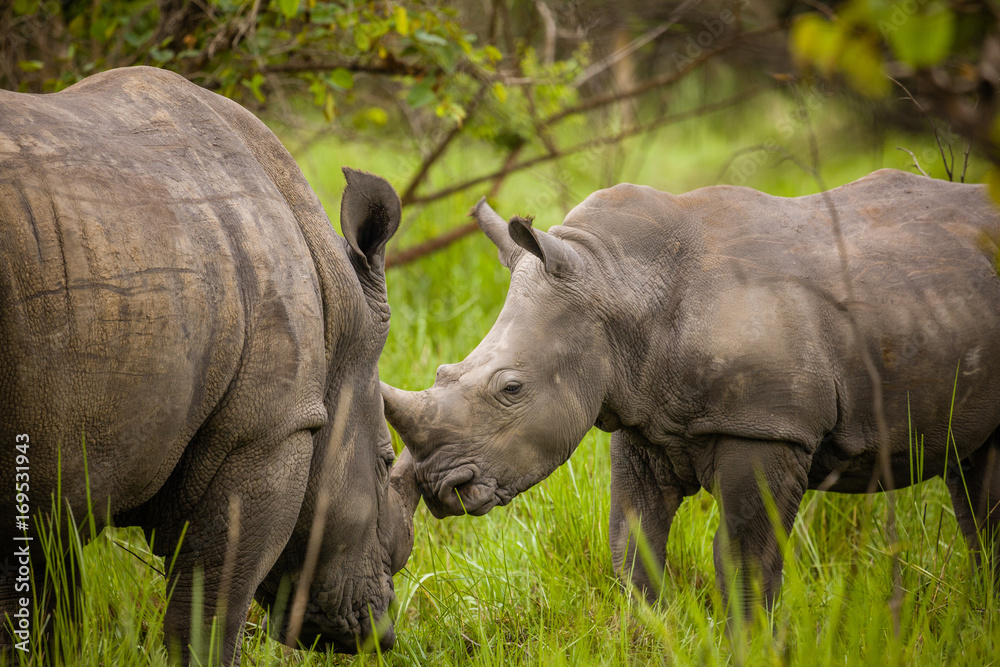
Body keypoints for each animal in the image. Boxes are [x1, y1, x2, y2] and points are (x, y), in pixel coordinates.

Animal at [0, 66, 419, 664]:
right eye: (384, 464)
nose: (377, 638)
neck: (339, 315)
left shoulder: (59, 471)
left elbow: (46, 606)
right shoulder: (268, 429)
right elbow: (210, 614)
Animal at [382, 169, 1000, 615]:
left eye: (511, 389)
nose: (440, 487)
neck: (618, 283)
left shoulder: (768, 426)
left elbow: (746, 562)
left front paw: (750, 643)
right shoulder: (641, 413)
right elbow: (633, 548)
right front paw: (653, 632)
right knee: (977, 475)